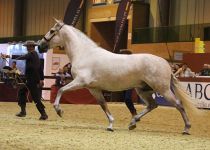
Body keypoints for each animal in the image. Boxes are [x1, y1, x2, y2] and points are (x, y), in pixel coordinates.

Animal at [38, 19, 198, 134]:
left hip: (163, 90)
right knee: (153, 105)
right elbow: (103, 105)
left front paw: (59, 110)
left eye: (52, 31)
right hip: (143, 90)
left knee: (179, 105)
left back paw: (187, 128)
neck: (84, 53)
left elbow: (60, 90)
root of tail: (166, 64)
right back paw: (132, 123)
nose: (40, 46)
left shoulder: (80, 82)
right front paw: (110, 124)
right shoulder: (93, 89)